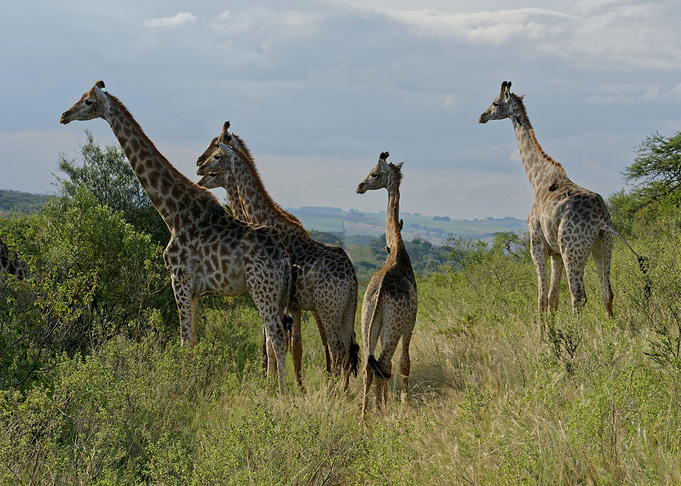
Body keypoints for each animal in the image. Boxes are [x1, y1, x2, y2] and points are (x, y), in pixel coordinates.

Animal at [59, 81, 295, 392]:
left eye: (88, 101)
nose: (63, 115)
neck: (173, 213)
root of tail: (285, 258)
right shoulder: (194, 290)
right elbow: (192, 340)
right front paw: (191, 385)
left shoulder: (179, 278)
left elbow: (184, 342)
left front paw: (183, 390)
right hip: (274, 294)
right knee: (274, 339)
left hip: (262, 290)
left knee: (277, 339)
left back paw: (281, 394)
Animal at [196, 125, 359, 386]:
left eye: (217, 154)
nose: (199, 167)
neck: (261, 219)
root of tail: (352, 278)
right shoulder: (293, 304)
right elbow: (291, 346)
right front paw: (288, 384)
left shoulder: (279, 299)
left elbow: (276, 345)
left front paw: (274, 384)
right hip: (346, 309)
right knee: (347, 349)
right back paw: (341, 389)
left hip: (327, 308)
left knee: (337, 350)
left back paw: (331, 390)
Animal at [479, 81, 645, 317]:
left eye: (495, 102)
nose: (481, 116)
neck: (537, 178)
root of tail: (601, 219)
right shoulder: (555, 252)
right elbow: (553, 299)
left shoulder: (537, 244)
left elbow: (541, 299)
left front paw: (542, 329)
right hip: (603, 245)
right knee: (608, 292)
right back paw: (610, 327)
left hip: (572, 250)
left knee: (578, 296)